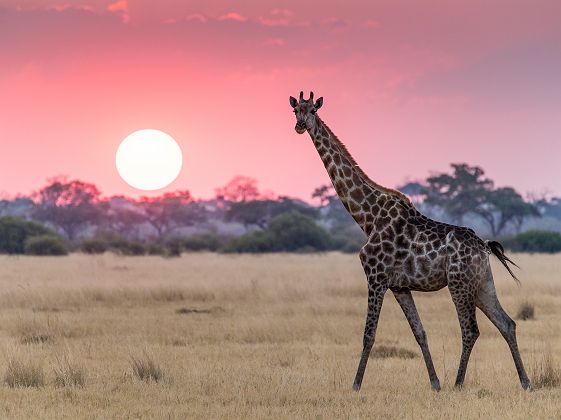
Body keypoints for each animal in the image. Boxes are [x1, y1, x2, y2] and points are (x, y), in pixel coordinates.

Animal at [290, 91, 532, 390]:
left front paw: (356, 385)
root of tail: (484, 246)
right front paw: (435, 383)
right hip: (482, 283)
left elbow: (369, 334)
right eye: (295, 110)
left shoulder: (376, 277)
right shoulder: (400, 287)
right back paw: (525, 382)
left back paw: (458, 383)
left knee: (471, 330)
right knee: (507, 323)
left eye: (312, 110)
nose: (300, 126)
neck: (367, 217)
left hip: (459, 283)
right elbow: (420, 332)